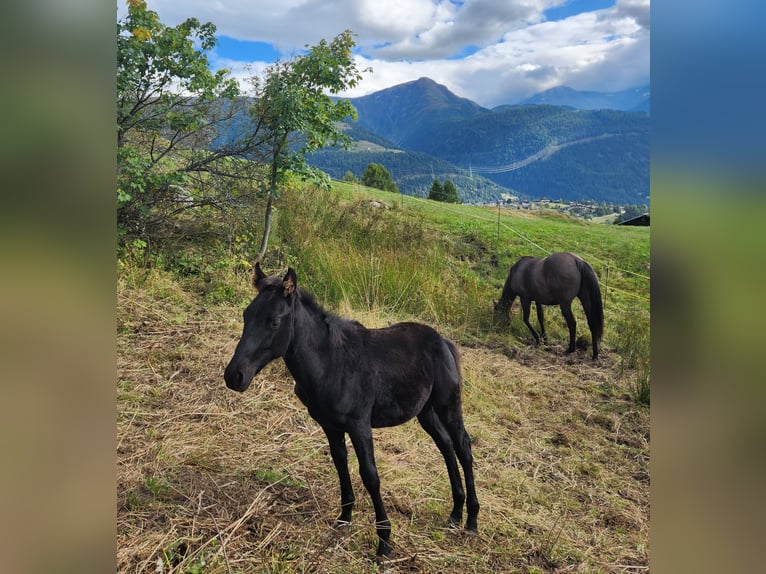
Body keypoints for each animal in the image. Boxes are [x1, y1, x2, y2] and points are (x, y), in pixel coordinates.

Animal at [225, 264, 480, 564]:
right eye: (246, 315)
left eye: (274, 321)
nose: (234, 376)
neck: (330, 362)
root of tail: (443, 341)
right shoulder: (330, 425)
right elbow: (340, 464)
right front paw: (344, 518)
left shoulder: (359, 425)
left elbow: (370, 476)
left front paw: (384, 543)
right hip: (426, 412)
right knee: (446, 446)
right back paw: (455, 512)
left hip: (448, 405)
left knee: (463, 446)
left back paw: (472, 520)